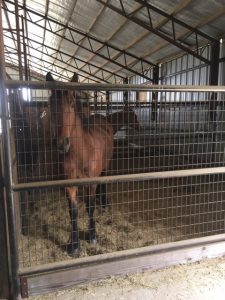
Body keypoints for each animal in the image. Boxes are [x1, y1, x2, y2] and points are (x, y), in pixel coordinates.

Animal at [45, 72, 113, 255]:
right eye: (50, 103)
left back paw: (105, 203)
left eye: (71, 102)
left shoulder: (90, 181)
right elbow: (73, 211)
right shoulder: (69, 184)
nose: (62, 144)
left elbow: (90, 207)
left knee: (104, 183)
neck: (80, 153)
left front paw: (92, 236)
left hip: (106, 167)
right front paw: (74, 245)